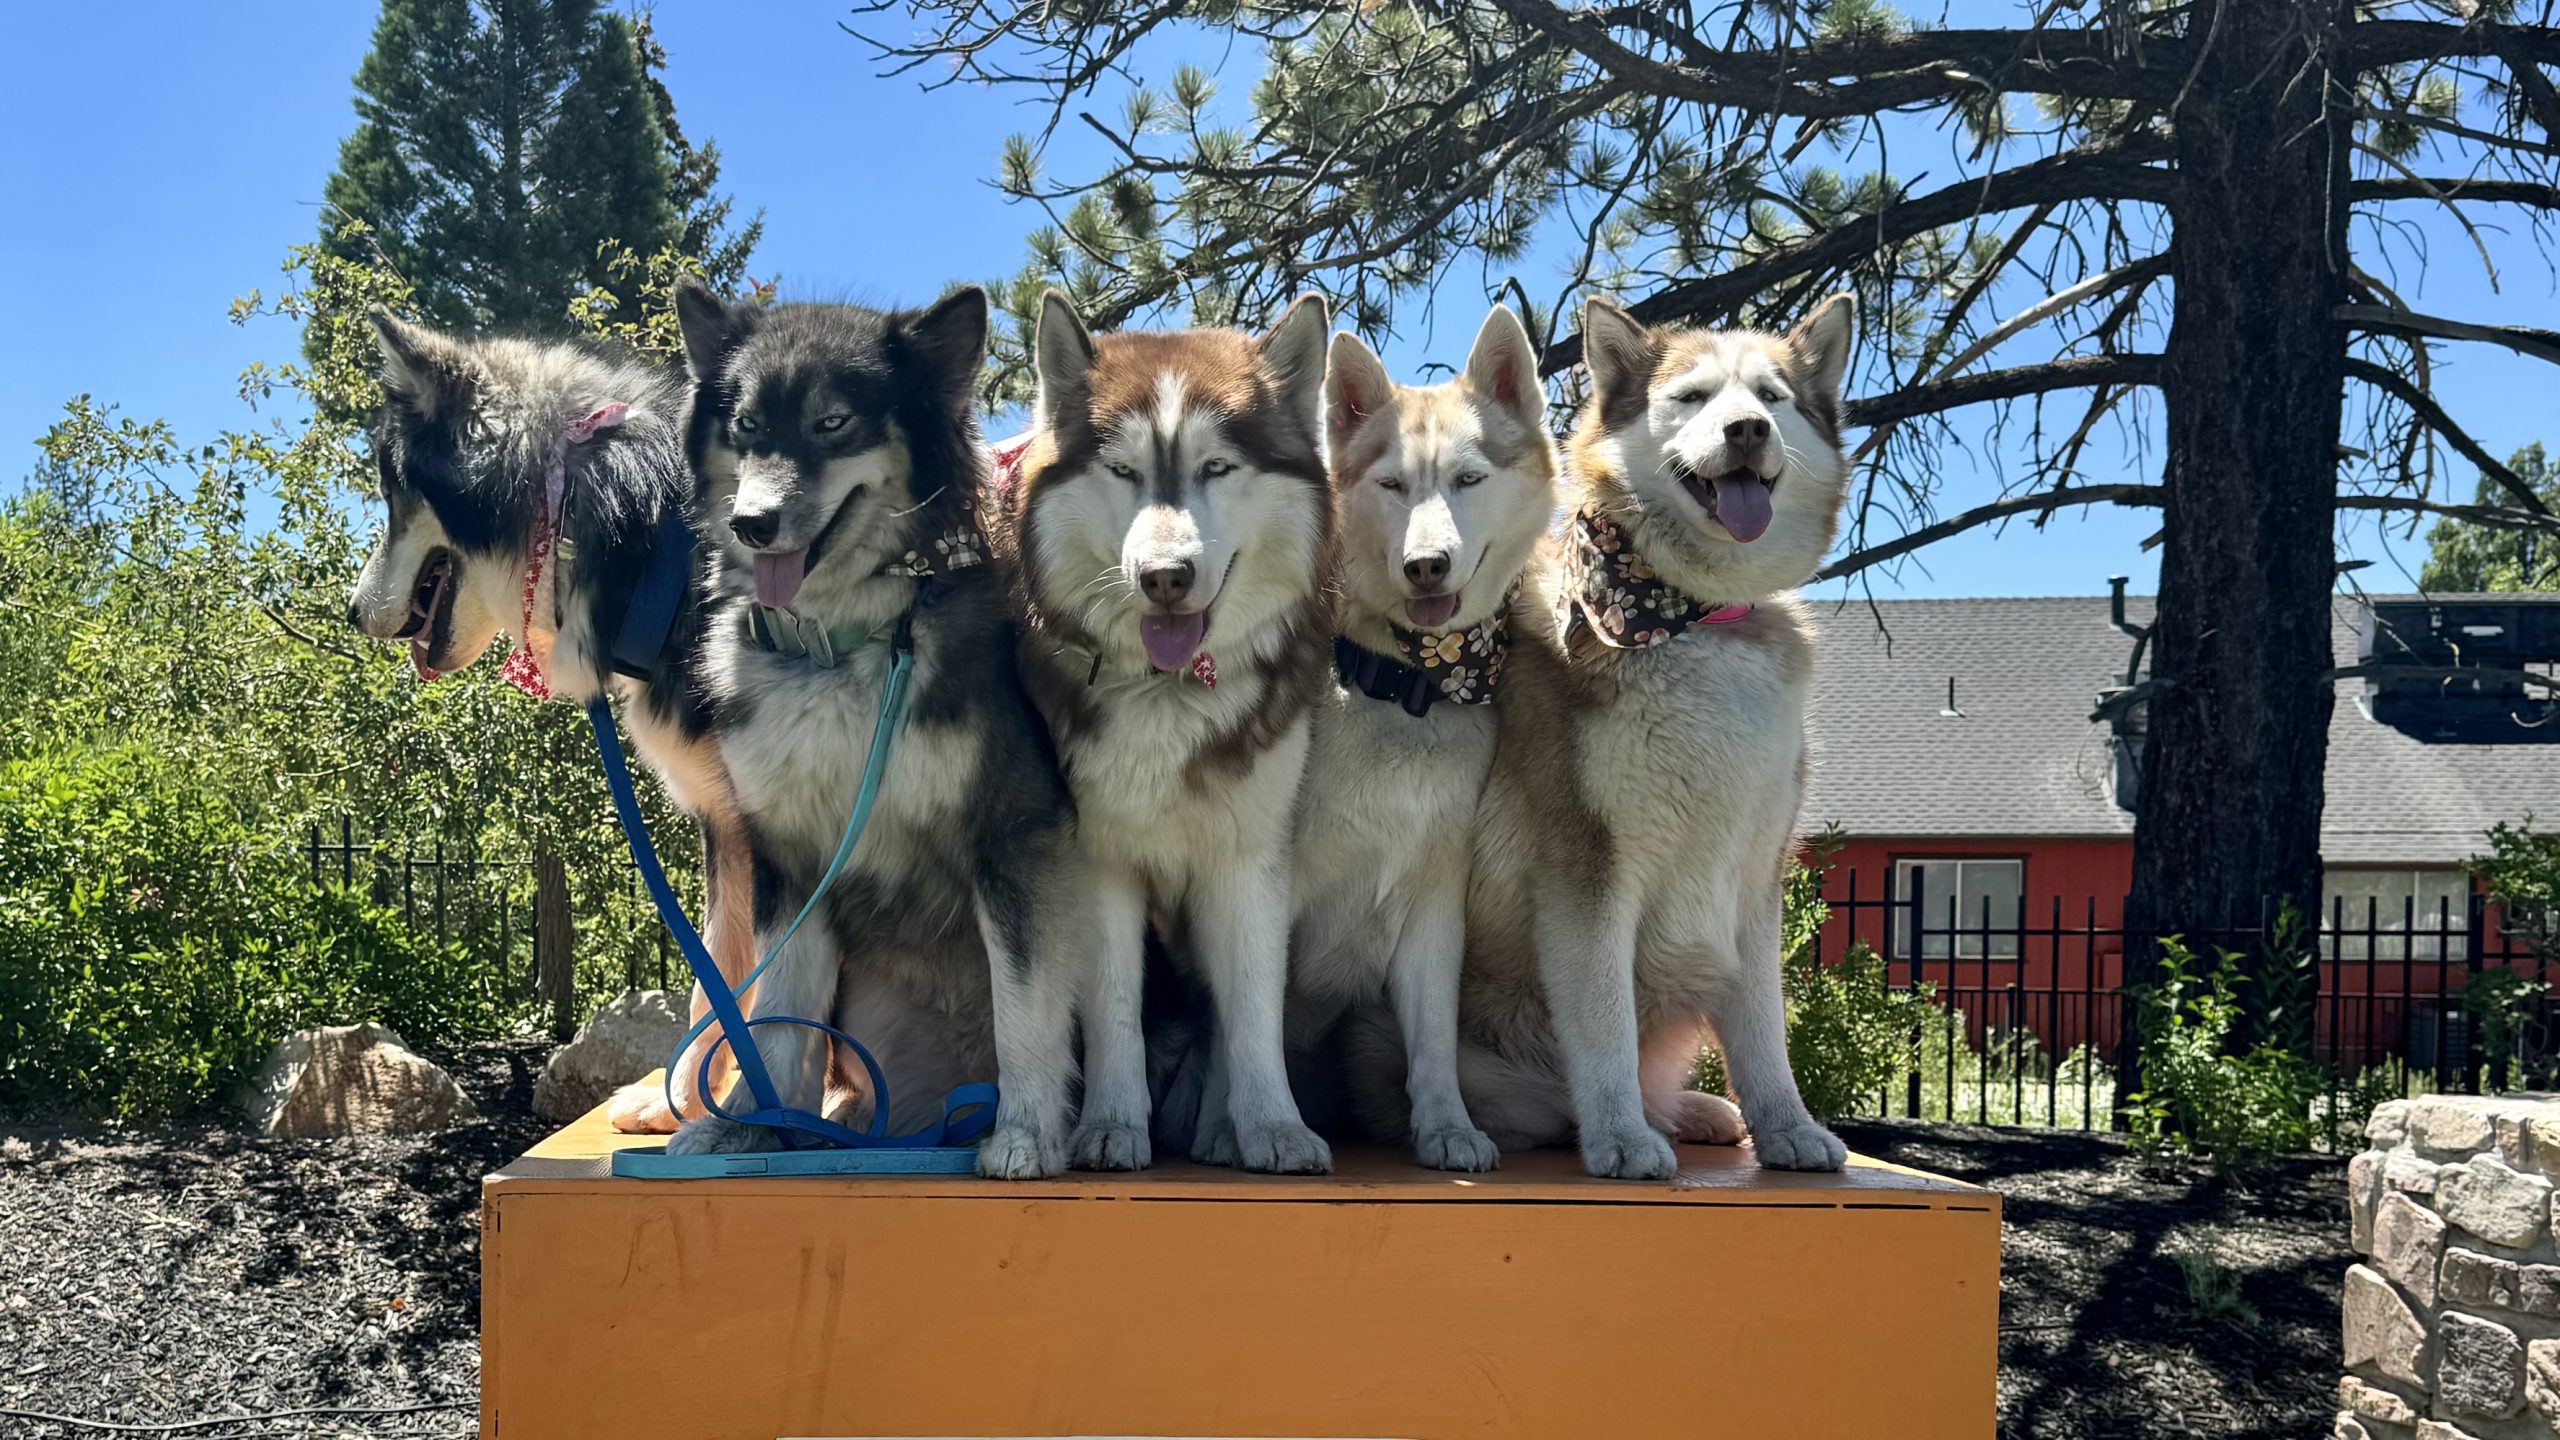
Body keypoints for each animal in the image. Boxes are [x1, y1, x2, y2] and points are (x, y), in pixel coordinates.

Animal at [340, 316, 747, 1132]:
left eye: (393, 497)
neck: (653, 545)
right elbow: (714, 979)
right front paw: (687, 1106)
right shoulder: (727, 821)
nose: (347, 612)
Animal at [665, 283, 1085, 1178]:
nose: (753, 522)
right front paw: (755, 1123)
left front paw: (1027, 1130)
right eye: (746, 425)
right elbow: (782, 1009)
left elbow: (1025, 1004)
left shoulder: (1013, 836)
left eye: (833, 422)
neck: (841, 643)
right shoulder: (788, 856)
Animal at [993, 297, 1341, 1173]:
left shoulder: (1249, 863)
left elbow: (1252, 1018)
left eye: (1217, 468)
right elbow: (1113, 1011)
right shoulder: (1101, 863)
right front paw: (1112, 1126)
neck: (1170, 693)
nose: (1165, 578)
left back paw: (1222, 1127)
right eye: (1122, 472)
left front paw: (1275, 1127)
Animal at [1290, 304, 1546, 1168]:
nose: (1426, 565)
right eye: (1393, 485)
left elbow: (1433, 1041)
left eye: (1467, 480)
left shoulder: (1435, 902)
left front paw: (1446, 1127)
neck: (1406, 690)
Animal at [1454, 294, 1853, 1178]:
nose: (1747, 431)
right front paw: (1621, 1137)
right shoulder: (1586, 867)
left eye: (1771, 398)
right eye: (1694, 396)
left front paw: (1786, 1125)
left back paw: (1697, 1110)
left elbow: (1762, 1024)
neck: (1695, 619)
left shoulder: (1754, 874)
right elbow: (1604, 1024)